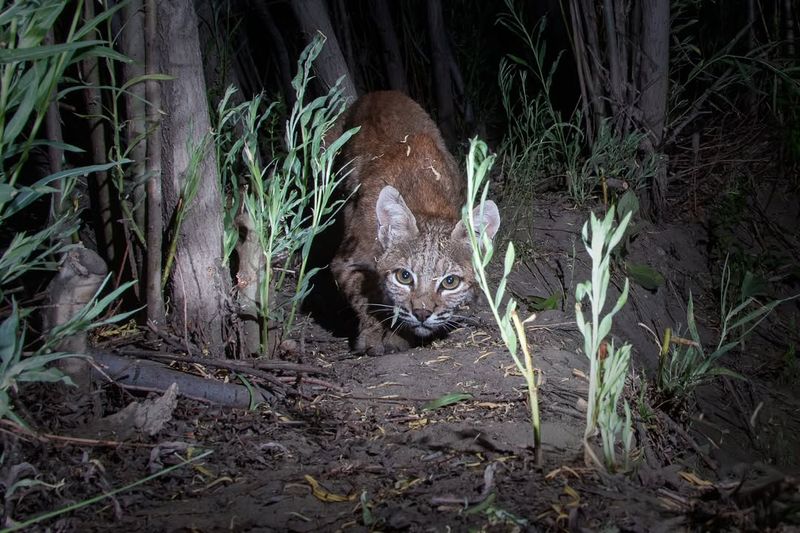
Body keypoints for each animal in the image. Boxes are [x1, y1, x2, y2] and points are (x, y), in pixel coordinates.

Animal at [328, 92, 496, 354]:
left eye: (450, 282)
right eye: (404, 277)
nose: (422, 313)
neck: (427, 204)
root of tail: (378, 92)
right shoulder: (346, 260)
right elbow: (366, 297)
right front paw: (377, 335)